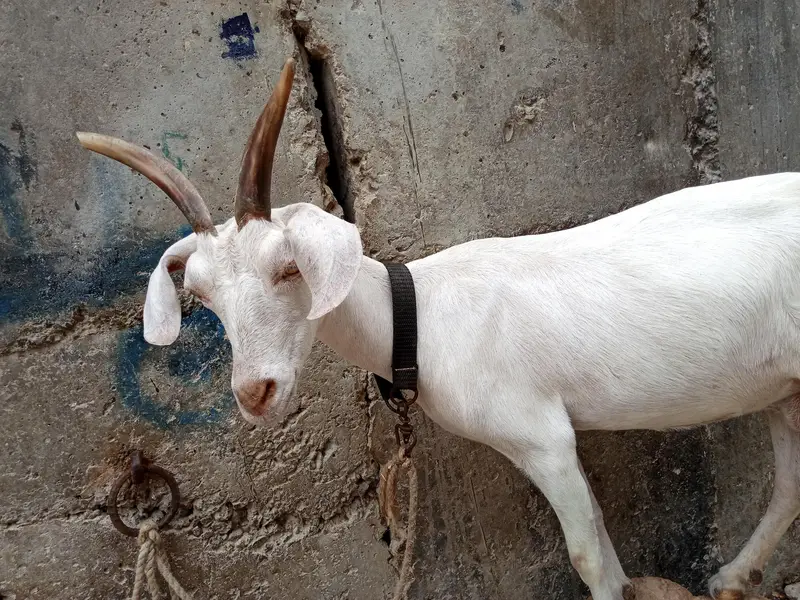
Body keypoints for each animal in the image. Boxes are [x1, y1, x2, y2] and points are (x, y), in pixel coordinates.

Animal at [78, 57, 800, 600]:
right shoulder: (555, 441)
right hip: (785, 386)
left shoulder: (541, 437)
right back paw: (734, 577)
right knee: (790, 480)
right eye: (199, 294)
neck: (418, 318)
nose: (255, 392)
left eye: (288, 267)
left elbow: (587, 555)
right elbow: (602, 539)